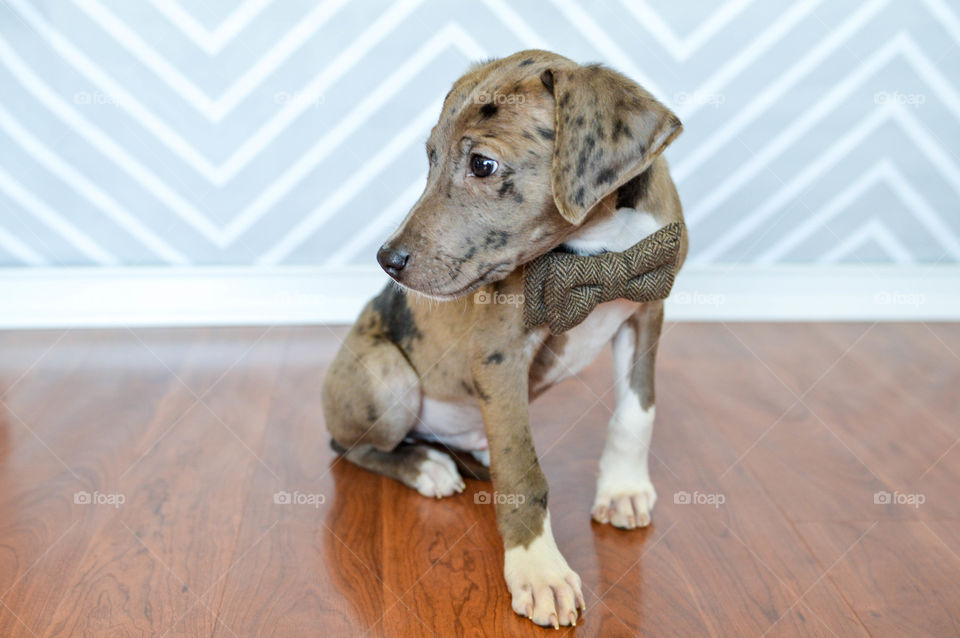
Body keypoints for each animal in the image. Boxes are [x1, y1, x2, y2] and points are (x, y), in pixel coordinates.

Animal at [322, 50, 684, 632]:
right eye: (430, 156)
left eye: (483, 165)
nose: (386, 261)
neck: (598, 250)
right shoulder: (500, 354)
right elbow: (523, 469)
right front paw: (538, 569)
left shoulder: (647, 310)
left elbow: (637, 412)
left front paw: (623, 488)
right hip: (386, 380)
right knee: (349, 447)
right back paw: (424, 466)